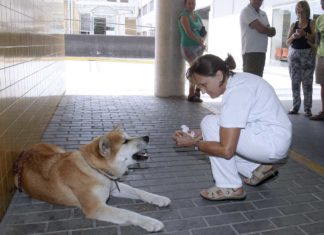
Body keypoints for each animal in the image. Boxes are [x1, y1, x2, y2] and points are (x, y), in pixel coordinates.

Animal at [13, 127, 171, 232]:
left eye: (128, 136)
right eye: (125, 141)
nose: (147, 137)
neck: (95, 170)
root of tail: (26, 151)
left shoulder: (113, 187)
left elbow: (139, 191)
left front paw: (158, 198)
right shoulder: (96, 208)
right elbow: (128, 213)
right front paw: (150, 221)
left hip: (59, 151)